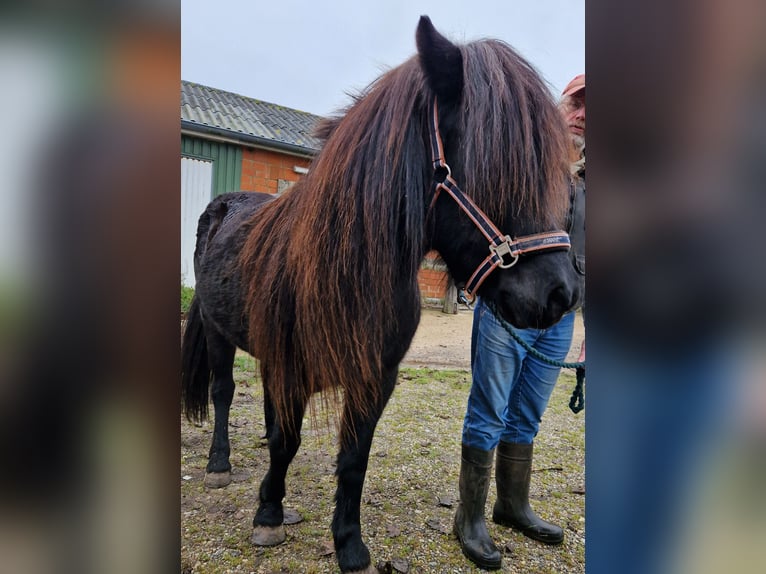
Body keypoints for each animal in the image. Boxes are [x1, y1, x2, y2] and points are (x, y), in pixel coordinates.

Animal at [181, 16, 581, 573]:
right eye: (497, 164)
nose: (561, 294)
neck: (345, 271)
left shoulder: (376, 376)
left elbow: (353, 458)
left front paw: (349, 545)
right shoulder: (289, 366)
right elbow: (287, 441)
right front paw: (269, 514)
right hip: (220, 335)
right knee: (222, 393)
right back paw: (219, 464)